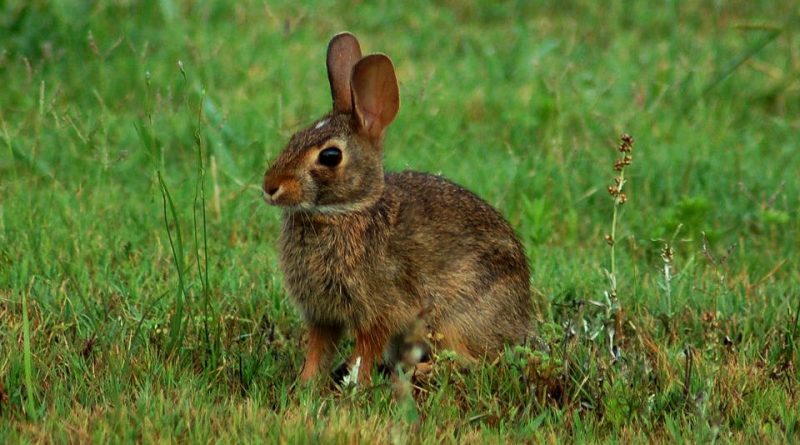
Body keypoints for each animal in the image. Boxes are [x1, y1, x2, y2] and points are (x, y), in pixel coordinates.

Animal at [262, 32, 532, 386]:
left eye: (330, 156)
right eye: (295, 137)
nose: (269, 187)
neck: (344, 212)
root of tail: (523, 323)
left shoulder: (381, 310)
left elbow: (366, 348)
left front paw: (355, 384)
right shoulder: (322, 315)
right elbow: (318, 350)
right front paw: (305, 385)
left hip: (458, 317)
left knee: (476, 361)